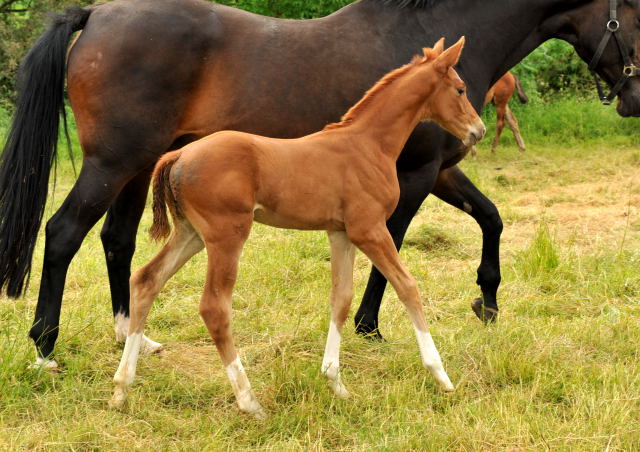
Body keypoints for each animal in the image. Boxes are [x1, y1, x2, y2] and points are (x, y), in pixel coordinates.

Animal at [1, 0, 640, 368]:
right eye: (632, 15)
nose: (633, 97)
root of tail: (98, 14)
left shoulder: (440, 170)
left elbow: (491, 217)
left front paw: (487, 299)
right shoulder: (413, 176)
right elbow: (393, 251)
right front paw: (370, 327)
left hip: (141, 166)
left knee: (118, 241)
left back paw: (132, 338)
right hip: (112, 163)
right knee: (64, 234)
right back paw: (45, 348)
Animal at [111, 38, 484, 416]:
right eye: (460, 89)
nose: (477, 130)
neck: (367, 145)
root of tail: (178, 156)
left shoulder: (341, 232)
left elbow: (341, 298)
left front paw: (335, 381)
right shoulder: (369, 229)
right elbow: (407, 287)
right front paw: (441, 375)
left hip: (190, 233)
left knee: (146, 280)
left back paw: (121, 387)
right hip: (227, 234)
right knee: (214, 307)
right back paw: (249, 401)